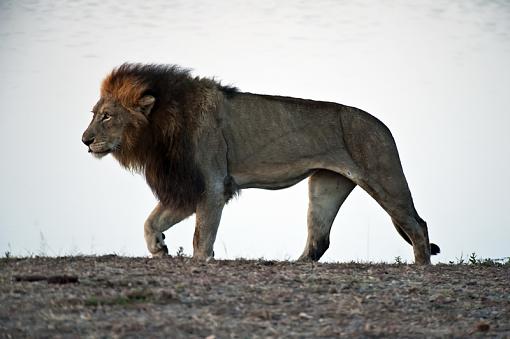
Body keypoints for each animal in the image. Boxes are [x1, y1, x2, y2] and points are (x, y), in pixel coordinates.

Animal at [82, 63, 438, 266]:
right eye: (95, 114)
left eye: (107, 116)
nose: (85, 140)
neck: (159, 128)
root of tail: (381, 126)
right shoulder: (188, 186)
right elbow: (151, 222)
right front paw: (159, 249)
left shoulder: (212, 186)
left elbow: (202, 236)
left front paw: (200, 260)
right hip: (326, 185)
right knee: (319, 238)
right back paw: (296, 265)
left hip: (383, 177)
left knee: (417, 225)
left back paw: (421, 267)